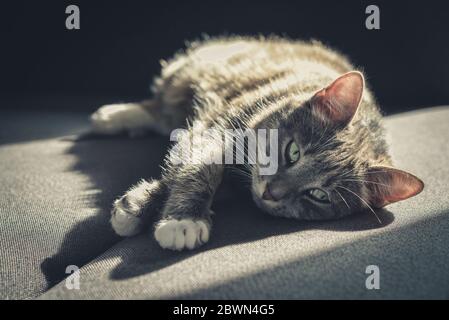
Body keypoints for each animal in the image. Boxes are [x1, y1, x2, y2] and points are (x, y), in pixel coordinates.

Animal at [89, 36, 422, 251]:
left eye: (319, 195)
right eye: (293, 151)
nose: (271, 192)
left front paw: (153, 210)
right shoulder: (219, 128)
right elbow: (197, 169)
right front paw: (177, 218)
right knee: (159, 107)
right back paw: (113, 115)